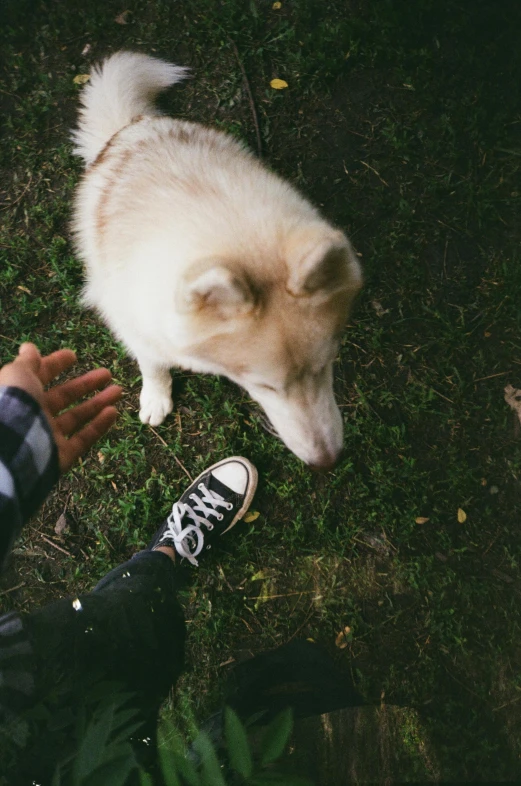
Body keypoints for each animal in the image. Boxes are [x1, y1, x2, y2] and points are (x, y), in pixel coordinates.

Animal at [71, 52, 360, 468]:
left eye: (327, 365)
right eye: (264, 386)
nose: (328, 461)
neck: (232, 233)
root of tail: (135, 124)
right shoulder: (135, 322)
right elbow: (152, 364)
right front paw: (155, 397)